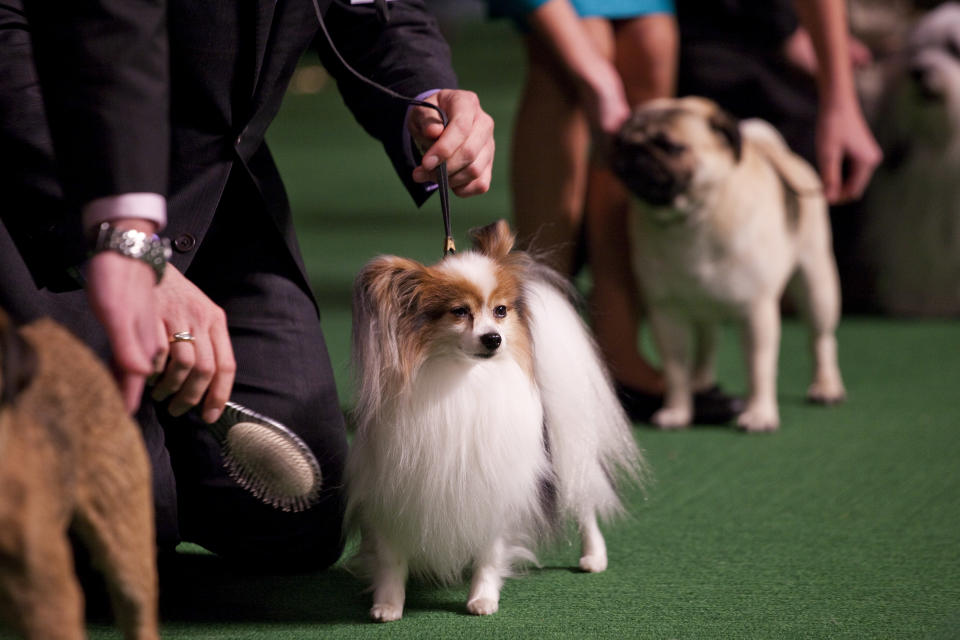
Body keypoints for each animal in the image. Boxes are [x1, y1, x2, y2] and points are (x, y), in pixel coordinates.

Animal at [344, 219, 644, 620]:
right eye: (459, 312)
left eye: (500, 310)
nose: (494, 338)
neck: (463, 380)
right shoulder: (390, 493)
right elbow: (391, 560)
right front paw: (388, 605)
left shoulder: (498, 488)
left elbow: (490, 552)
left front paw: (483, 598)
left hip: (568, 448)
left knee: (585, 504)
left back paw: (593, 556)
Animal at [612, 97, 844, 432]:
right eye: (620, 142)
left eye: (670, 147)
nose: (633, 153)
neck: (691, 222)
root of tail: (781, 153)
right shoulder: (667, 315)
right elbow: (676, 370)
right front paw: (677, 411)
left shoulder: (756, 313)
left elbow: (759, 368)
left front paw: (759, 414)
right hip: (702, 309)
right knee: (706, 347)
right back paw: (700, 385)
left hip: (817, 287)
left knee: (821, 340)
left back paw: (826, 386)